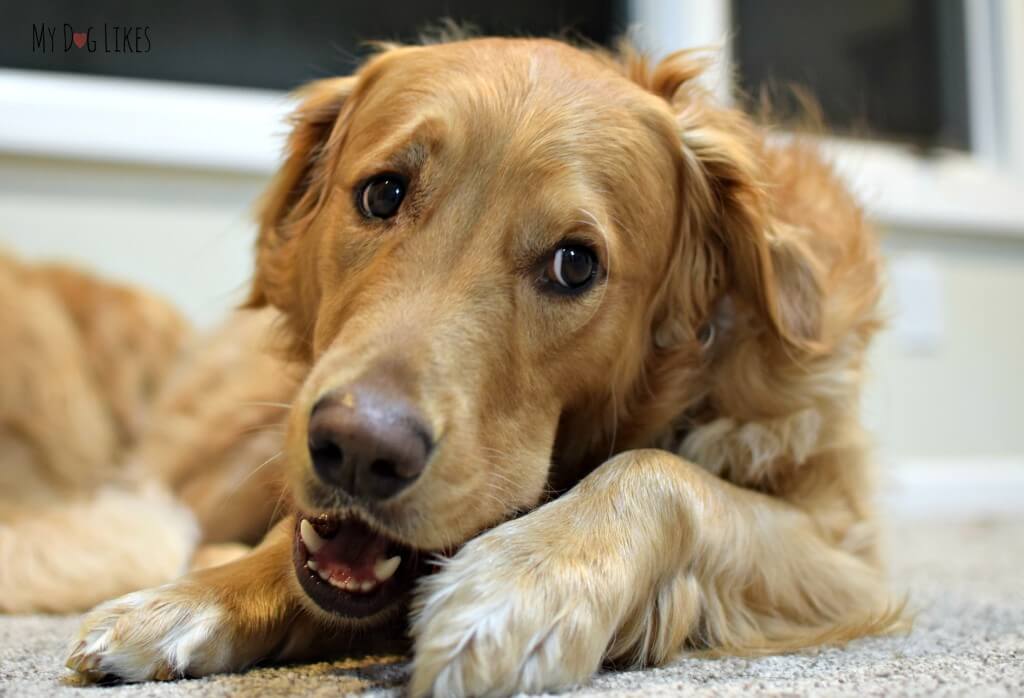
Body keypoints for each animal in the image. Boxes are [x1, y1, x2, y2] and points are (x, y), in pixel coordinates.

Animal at [61, 36, 905, 691]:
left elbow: (660, 473)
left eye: (574, 264)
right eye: (382, 193)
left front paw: (519, 584)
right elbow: (291, 544)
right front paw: (191, 599)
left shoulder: (845, 546)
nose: (360, 450)